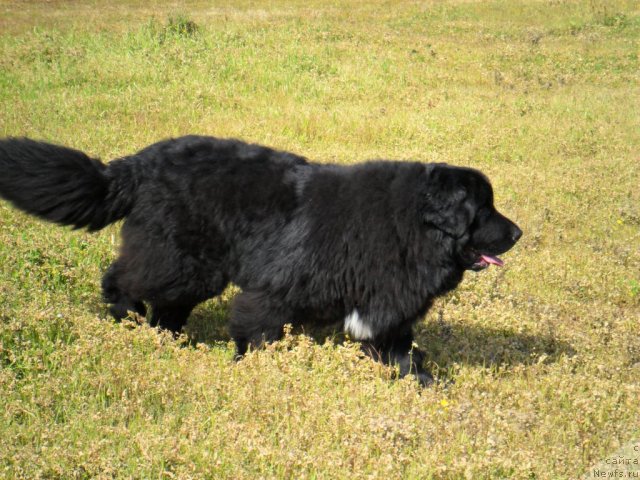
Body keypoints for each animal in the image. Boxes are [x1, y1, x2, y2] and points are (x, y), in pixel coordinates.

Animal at [0, 136, 520, 386]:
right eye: (485, 209)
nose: (518, 232)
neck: (405, 225)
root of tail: (137, 163)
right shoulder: (276, 289)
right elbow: (257, 332)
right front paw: (250, 370)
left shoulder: (383, 306)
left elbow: (400, 352)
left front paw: (427, 385)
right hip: (182, 261)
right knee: (125, 280)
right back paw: (127, 318)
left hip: (191, 270)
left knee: (166, 305)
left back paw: (171, 341)